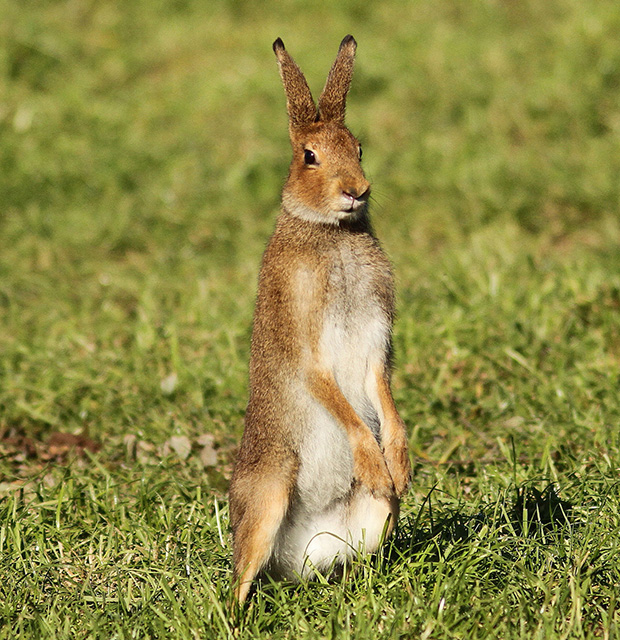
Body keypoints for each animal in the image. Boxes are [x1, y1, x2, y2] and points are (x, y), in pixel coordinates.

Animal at [229, 35, 411, 605]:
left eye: (359, 148)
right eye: (309, 157)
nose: (358, 190)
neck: (330, 231)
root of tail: (295, 557)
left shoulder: (376, 345)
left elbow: (380, 391)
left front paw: (399, 465)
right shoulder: (307, 347)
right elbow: (332, 393)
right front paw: (376, 463)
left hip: (374, 519)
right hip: (270, 492)